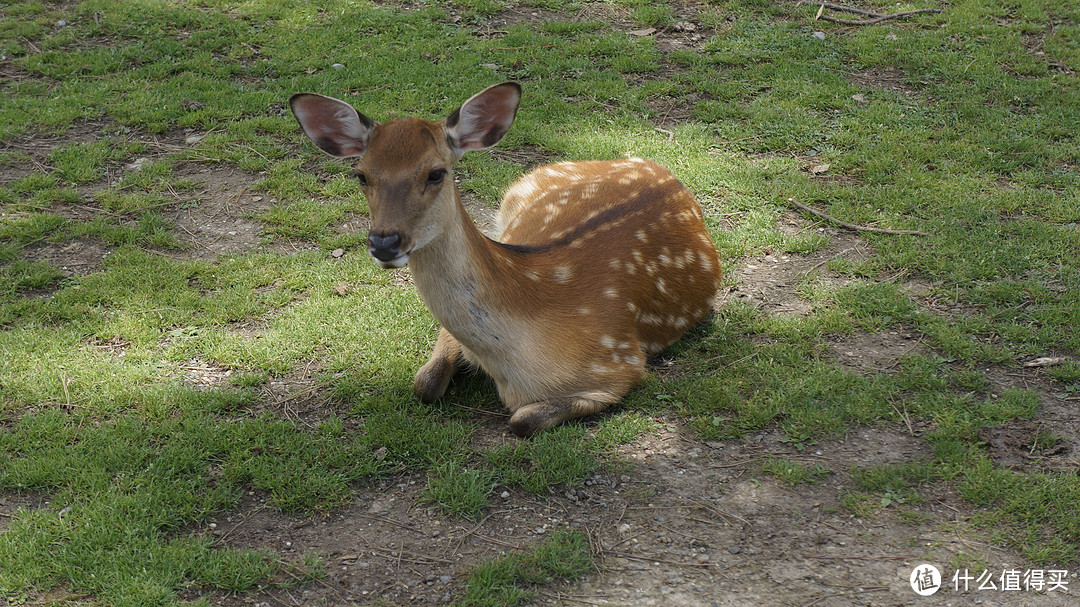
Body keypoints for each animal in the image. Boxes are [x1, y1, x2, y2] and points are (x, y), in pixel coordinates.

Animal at [291, 81, 721, 434]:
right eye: (361, 174)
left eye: (435, 172)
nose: (384, 242)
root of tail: (663, 171)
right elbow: (424, 383)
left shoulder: (620, 366)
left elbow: (522, 420)